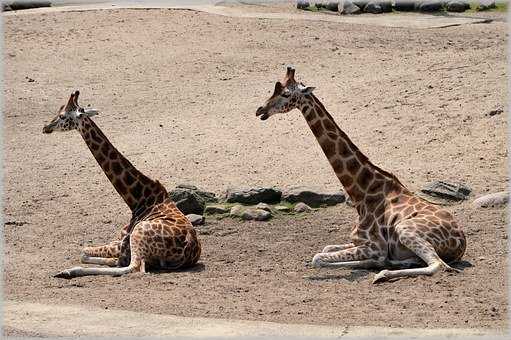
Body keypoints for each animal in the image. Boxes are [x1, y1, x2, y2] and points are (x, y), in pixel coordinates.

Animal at [43, 91, 202, 278]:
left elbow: (84, 251)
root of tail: (187, 248)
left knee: (135, 268)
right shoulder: (120, 243)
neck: (138, 199)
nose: (46, 127)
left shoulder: (122, 243)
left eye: (62, 116)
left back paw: (68, 271)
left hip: (138, 235)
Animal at [256, 67, 468, 284]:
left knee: (438, 265)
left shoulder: (375, 246)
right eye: (273, 90)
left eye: (286, 94)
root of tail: (461, 243)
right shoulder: (357, 241)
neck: (362, 193)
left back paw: (382, 274)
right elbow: (326, 248)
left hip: (405, 229)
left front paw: (376, 264)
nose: (260, 110)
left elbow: (318, 258)